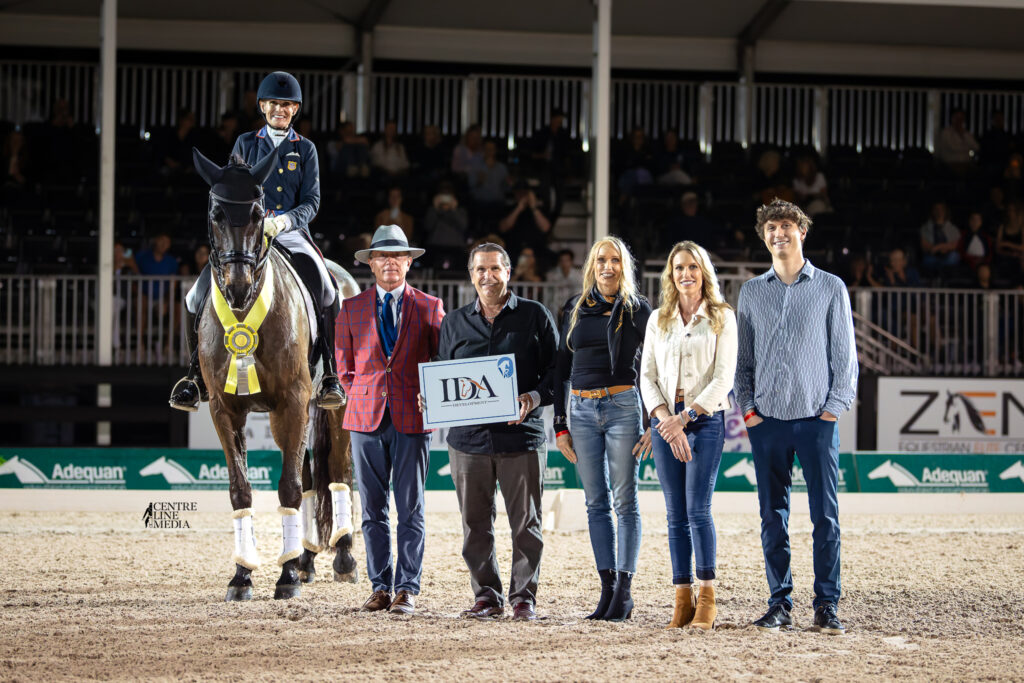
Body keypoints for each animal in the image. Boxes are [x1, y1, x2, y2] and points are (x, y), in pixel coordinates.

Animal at [190, 148, 357, 601]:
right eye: (215, 213)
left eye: (257, 212)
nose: (238, 287)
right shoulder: (224, 409)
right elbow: (241, 489)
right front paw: (242, 575)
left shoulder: (293, 401)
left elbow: (289, 488)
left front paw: (284, 578)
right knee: (311, 475)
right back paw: (306, 560)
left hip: (333, 404)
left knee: (339, 473)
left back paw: (343, 557)